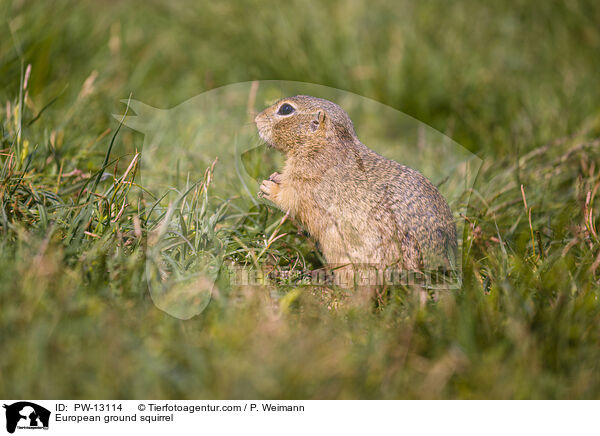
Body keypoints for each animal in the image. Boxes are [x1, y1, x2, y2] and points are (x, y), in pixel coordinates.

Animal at [255, 97, 458, 278]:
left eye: (286, 109)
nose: (256, 119)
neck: (320, 146)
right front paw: (276, 176)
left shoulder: (306, 180)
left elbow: (289, 198)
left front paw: (268, 187)